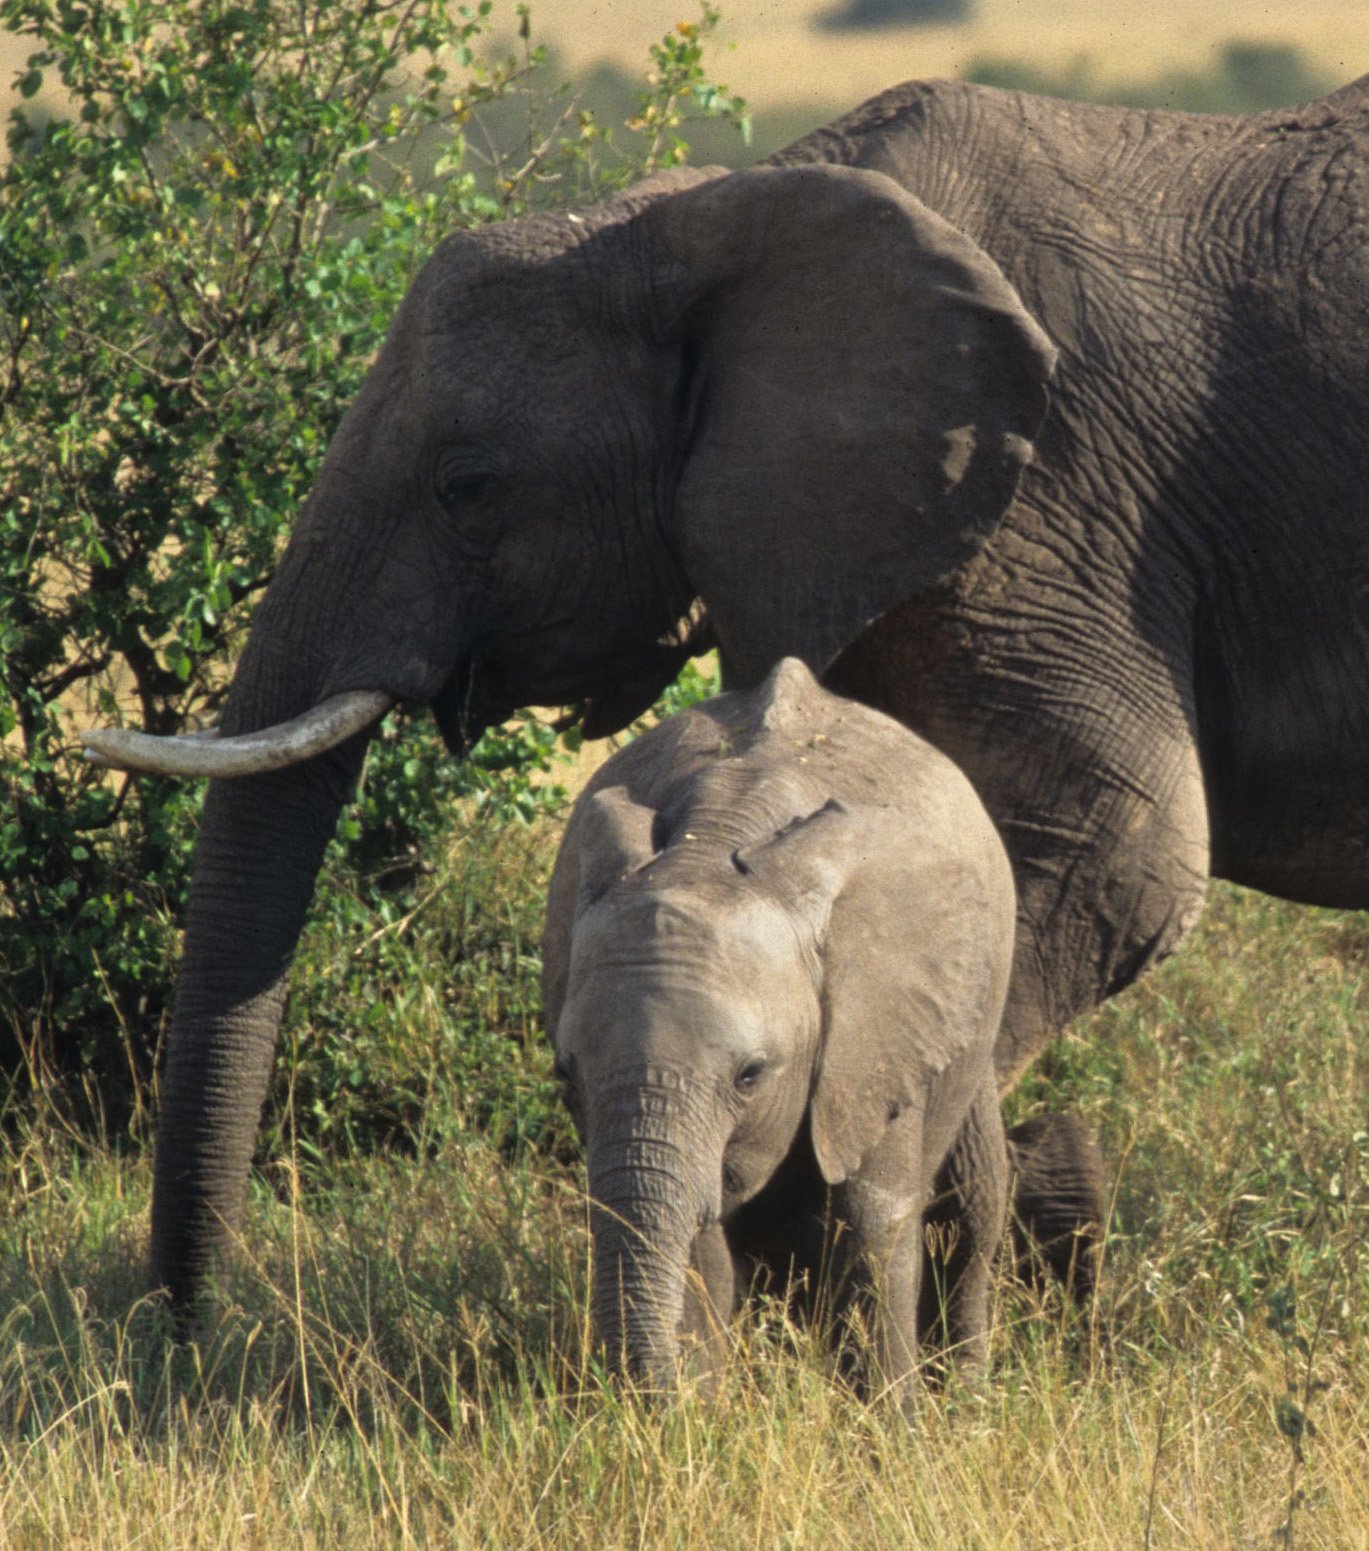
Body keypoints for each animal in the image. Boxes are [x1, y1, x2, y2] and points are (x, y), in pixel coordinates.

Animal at [543, 656, 1016, 1396]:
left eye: (750, 1075)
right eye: (566, 1075)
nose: (652, 1400)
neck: (712, 843)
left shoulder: (877, 1032)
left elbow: (873, 1219)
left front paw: (890, 1422)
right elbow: (700, 1239)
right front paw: (702, 1412)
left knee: (971, 1209)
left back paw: (965, 1398)